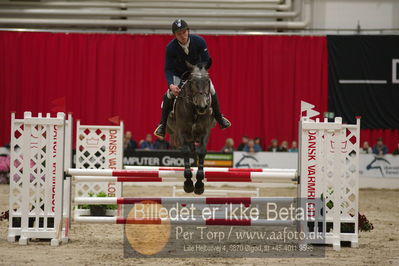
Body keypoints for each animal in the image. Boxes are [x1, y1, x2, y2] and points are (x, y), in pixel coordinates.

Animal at [166, 63, 216, 194]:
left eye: (207, 81)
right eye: (192, 82)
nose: (202, 107)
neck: (194, 110)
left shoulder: (205, 132)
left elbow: (201, 151)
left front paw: (199, 185)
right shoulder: (182, 132)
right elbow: (185, 151)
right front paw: (188, 183)